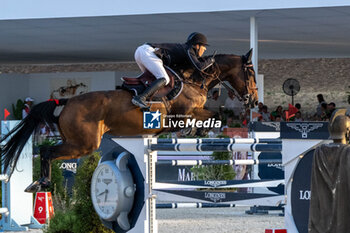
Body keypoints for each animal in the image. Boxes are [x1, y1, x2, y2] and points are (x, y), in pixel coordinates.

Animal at [0, 48, 258, 191]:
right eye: (250, 72)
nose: (254, 101)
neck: (194, 79)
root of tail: (68, 102)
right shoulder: (184, 114)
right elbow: (215, 115)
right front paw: (198, 132)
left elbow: (214, 115)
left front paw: (199, 132)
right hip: (83, 144)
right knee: (47, 152)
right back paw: (41, 183)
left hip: (76, 142)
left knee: (47, 151)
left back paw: (39, 183)